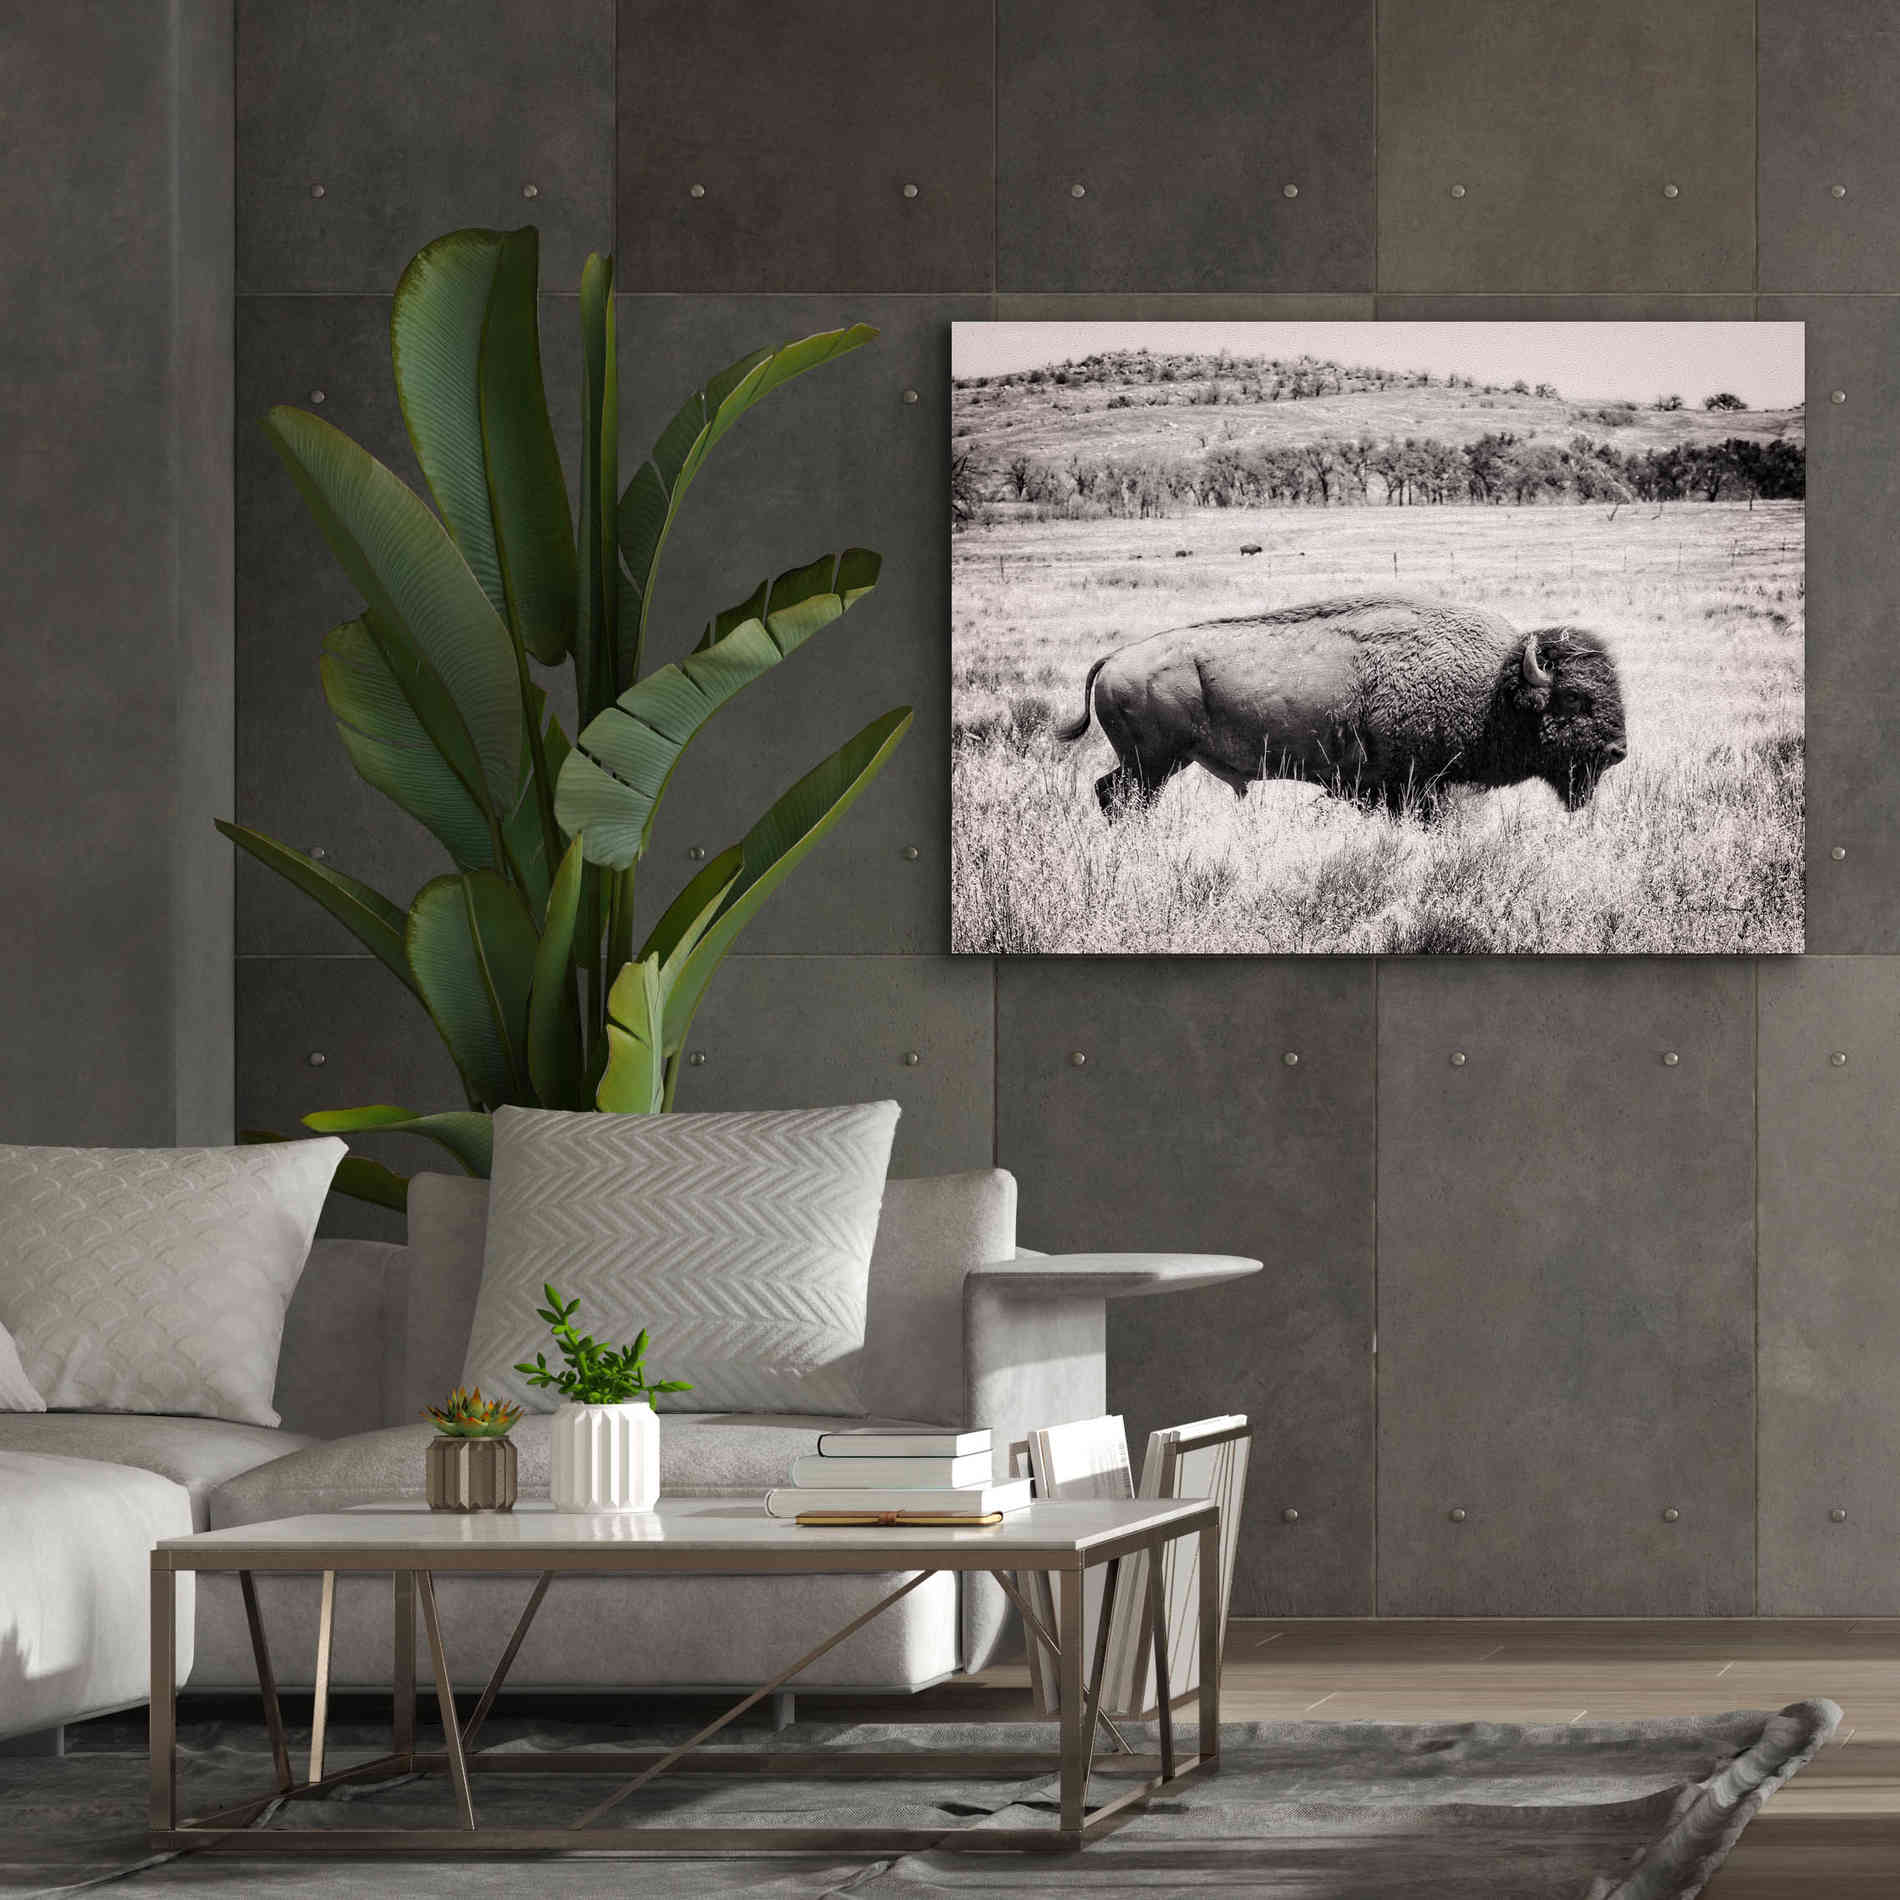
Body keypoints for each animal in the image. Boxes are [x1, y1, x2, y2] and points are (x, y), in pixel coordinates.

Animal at [1055, 594, 1628, 818]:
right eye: (1574, 698)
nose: (1618, 750)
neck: (1492, 688)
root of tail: (1115, 658)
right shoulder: (1410, 788)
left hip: (1151, 765)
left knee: (1108, 793)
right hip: (1152, 764)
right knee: (1118, 798)